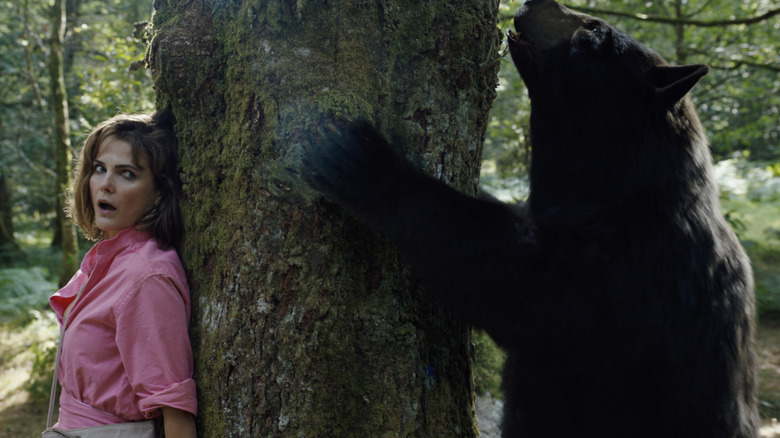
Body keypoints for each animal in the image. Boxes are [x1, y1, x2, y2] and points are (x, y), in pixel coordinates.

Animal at [298, 0, 756, 434]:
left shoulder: (618, 270)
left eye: (594, 32)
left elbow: (499, 266)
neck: (619, 181)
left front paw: (362, 160)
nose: (536, 0)